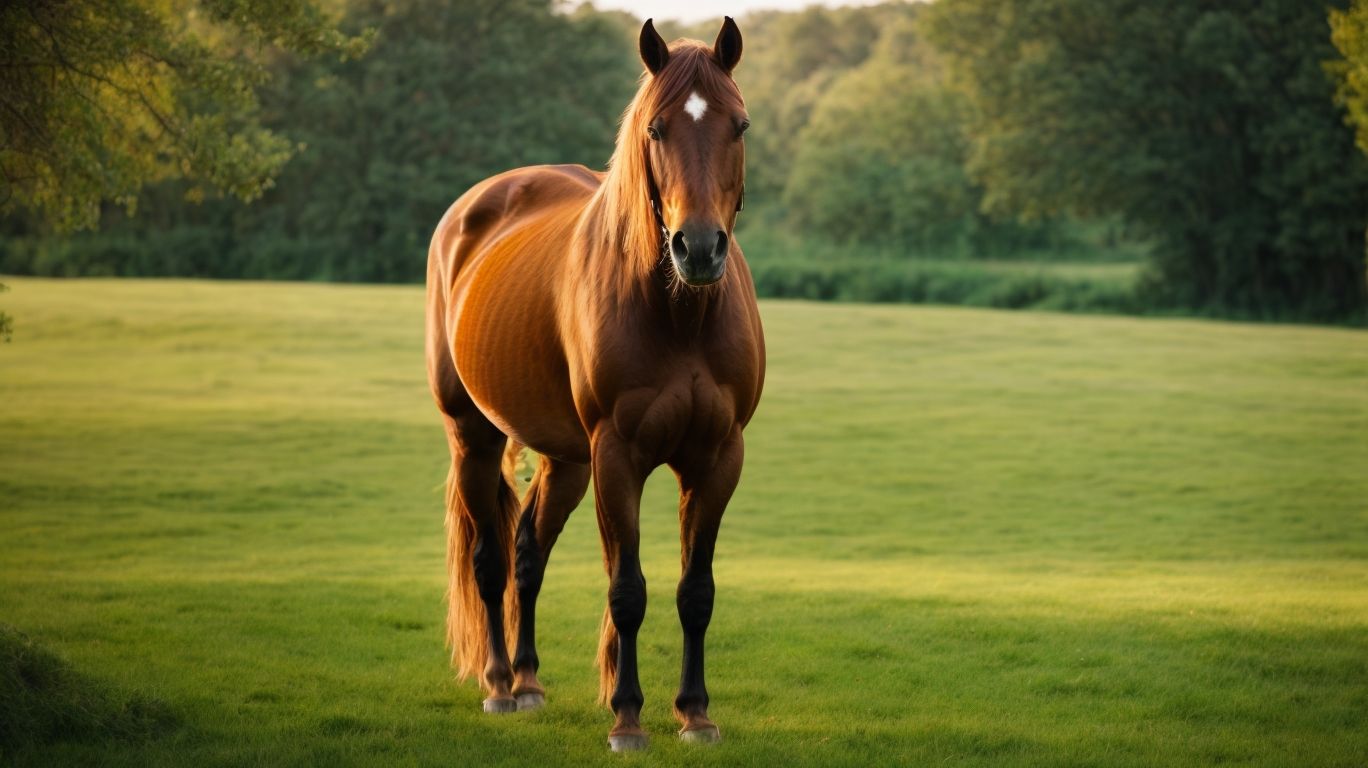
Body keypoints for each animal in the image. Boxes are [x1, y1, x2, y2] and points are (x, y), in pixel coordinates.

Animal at [424, 17, 764, 752]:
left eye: (741, 125)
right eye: (656, 128)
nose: (698, 248)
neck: (678, 313)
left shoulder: (717, 457)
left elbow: (696, 591)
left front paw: (695, 713)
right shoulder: (618, 457)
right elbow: (627, 590)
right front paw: (628, 717)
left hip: (567, 459)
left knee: (528, 554)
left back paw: (529, 683)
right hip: (474, 437)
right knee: (491, 561)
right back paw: (500, 684)